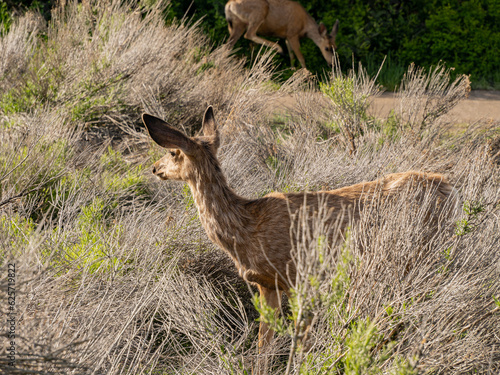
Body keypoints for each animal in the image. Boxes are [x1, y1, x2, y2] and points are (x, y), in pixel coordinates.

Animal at [143, 106, 458, 374]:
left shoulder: (297, 277)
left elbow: (298, 342)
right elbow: (264, 343)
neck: (246, 229)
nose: (155, 167)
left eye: (173, 152)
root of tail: (450, 189)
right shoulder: (268, 284)